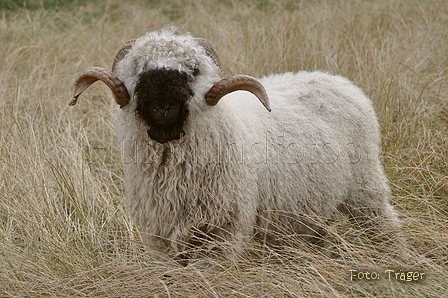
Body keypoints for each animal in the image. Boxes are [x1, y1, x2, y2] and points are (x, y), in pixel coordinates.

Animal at [71, 26, 402, 258]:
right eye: (139, 68)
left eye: (193, 70)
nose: (163, 108)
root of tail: (334, 79)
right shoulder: (161, 234)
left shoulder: (223, 230)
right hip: (310, 210)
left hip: (366, 189)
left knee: (386, 226)